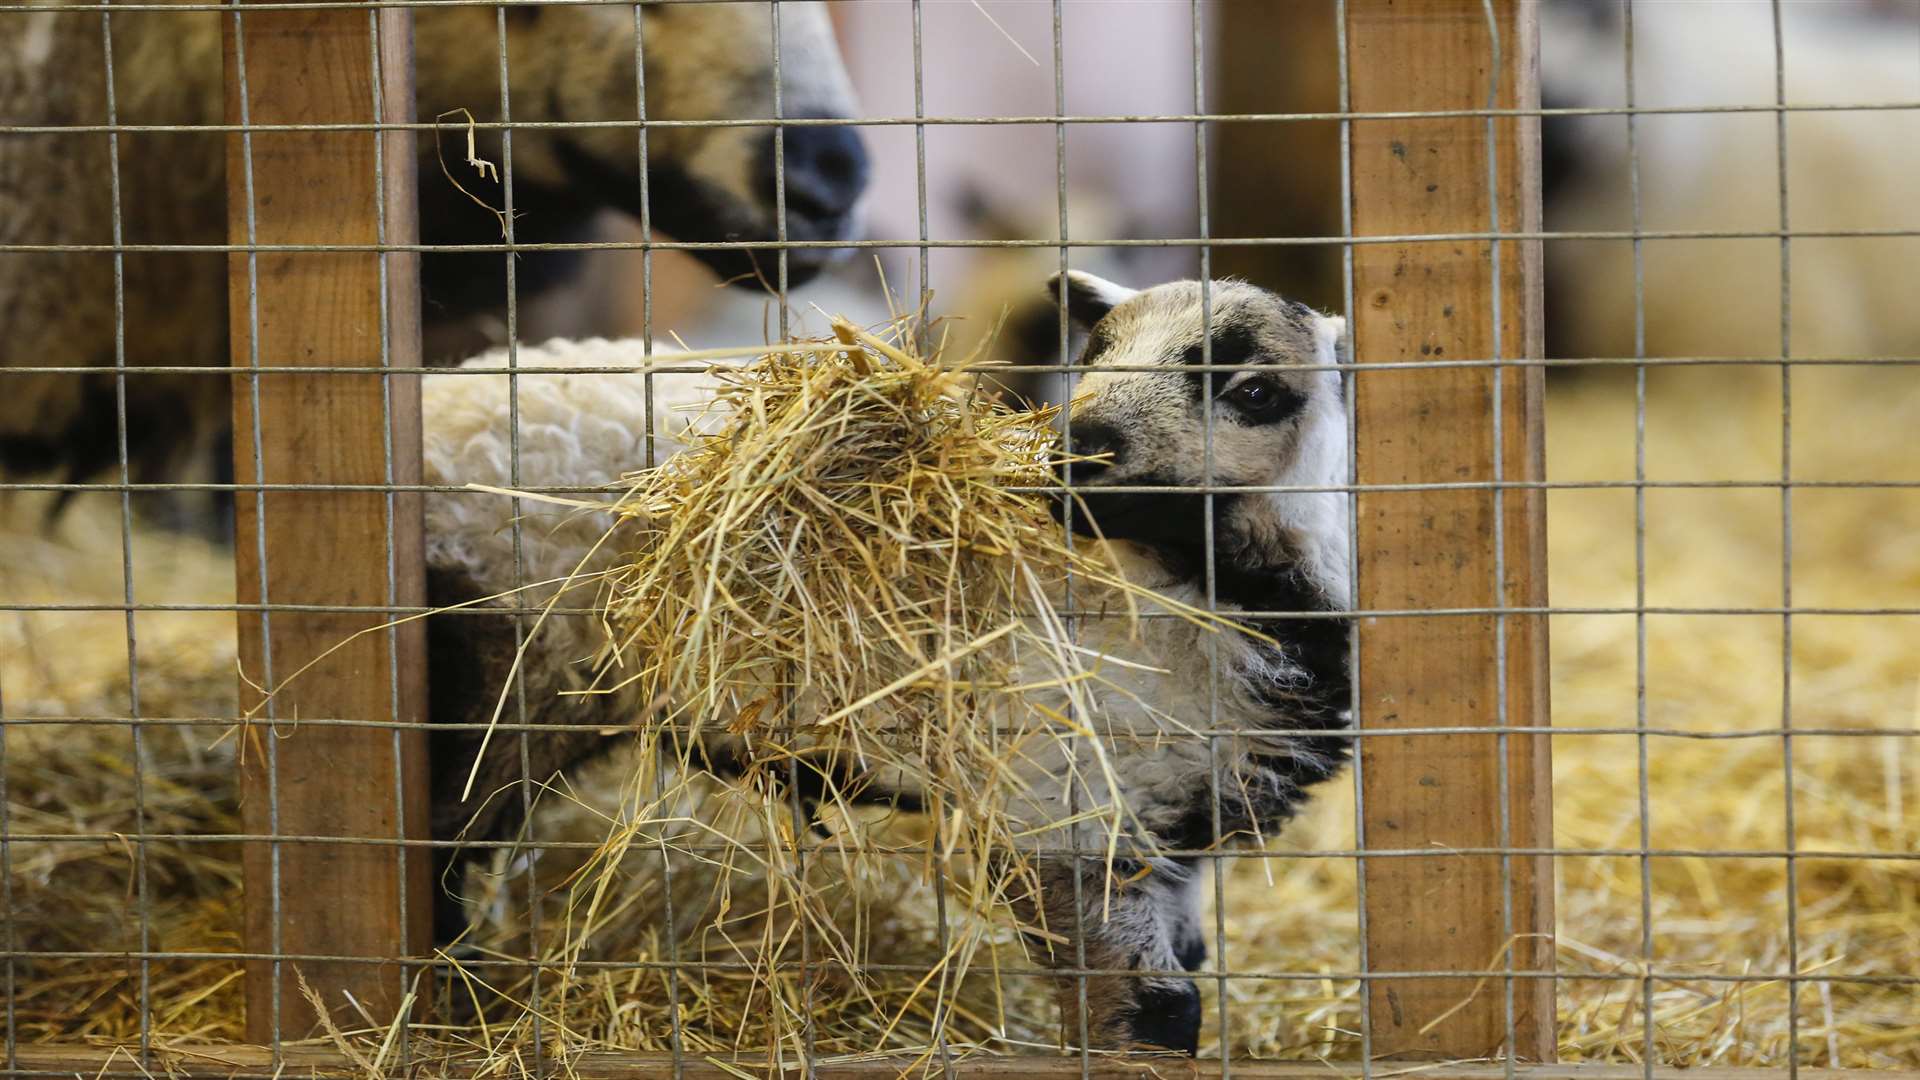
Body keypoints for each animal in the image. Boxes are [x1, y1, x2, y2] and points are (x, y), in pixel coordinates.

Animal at [420, 269, 1351, 1053]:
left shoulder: (1178, 810)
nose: (1080, 447)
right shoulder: (1069, 800)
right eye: (1094, 354)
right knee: (440, 838)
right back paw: (446, 1002)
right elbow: (1155, 1009)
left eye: (1255, 391)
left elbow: (1184, 967)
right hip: (505, 675)